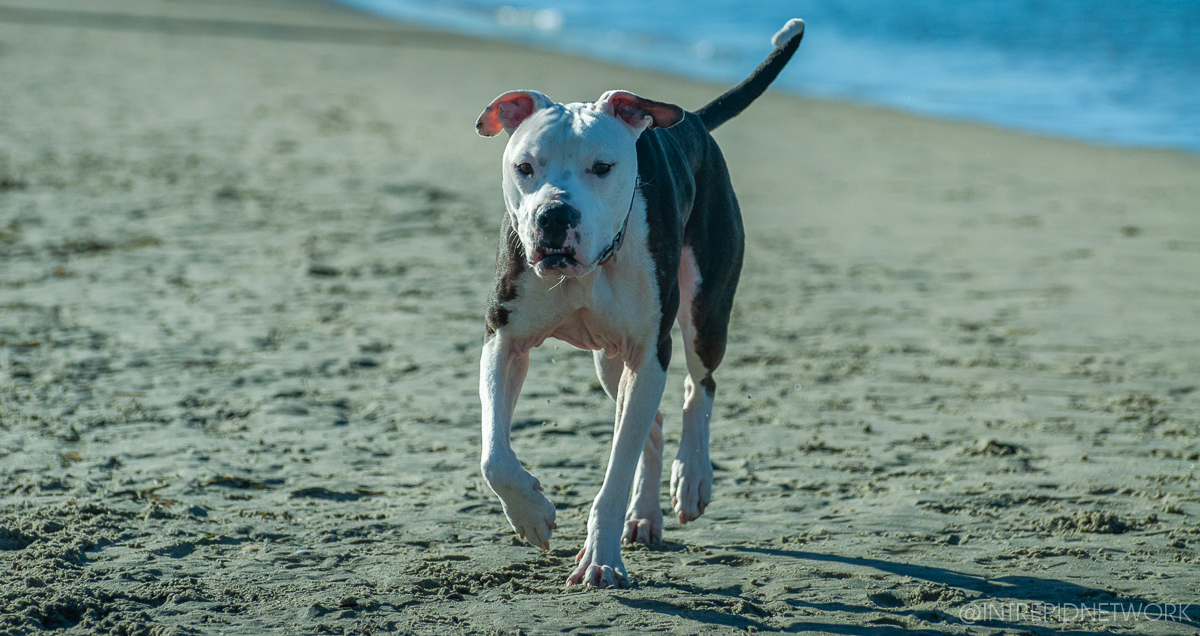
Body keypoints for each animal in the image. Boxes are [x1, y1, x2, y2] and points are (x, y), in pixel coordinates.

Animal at [472, 19, 801, 585]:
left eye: (602, 167)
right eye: (525, 167)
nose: (554, 216)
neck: (588, 269)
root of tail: (693, 123)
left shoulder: (650, 353)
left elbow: (617, 471)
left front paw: (601, 558)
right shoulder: (504, 340)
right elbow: (494, 456)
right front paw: (532, 514)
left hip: (703, 313)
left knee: (699, 387)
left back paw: (692, 478)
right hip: (610, 360)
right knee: (654, 424)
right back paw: (645, 515)